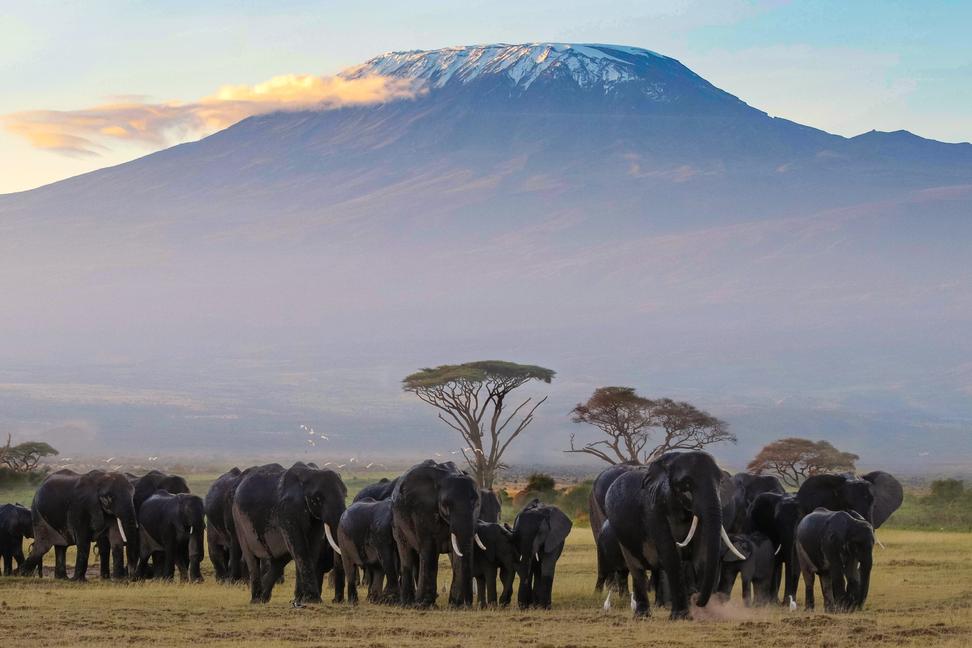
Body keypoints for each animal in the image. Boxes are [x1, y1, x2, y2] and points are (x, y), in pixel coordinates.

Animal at [234, 460, 348, 604]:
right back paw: (256, 600)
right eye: (317, 499)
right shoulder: (287, 510)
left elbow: (312, 547)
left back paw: (263, 598)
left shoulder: (314, 518)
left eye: (345, 494)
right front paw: (313, 600)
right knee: (252, 558)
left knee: (280, 559)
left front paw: (301, 600)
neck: (309, 475)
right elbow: (300, 547)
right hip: (238, 521)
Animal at [388, 460, 478, 608]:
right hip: (397, 521)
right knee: (406, 553)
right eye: (446, 505)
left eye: (475, 503)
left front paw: (455, 606)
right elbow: (429, 549)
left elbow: (456, 554)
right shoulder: (422, 510)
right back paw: (407, 603)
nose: (468, 604)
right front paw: (423, 604)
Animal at [604, 450, 748, 624]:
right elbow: (671, 554)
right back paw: (642, 616)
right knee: (636, 569)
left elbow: (701, 556)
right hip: (622, 536)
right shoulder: (653, 509)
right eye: (685, 485)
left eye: (720, 482)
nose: (697, 599)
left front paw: (705, 614)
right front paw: (681, 617)